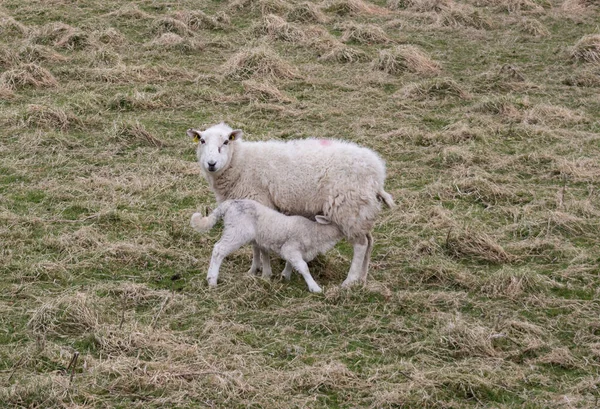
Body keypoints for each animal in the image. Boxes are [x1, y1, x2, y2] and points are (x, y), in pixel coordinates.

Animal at [192, 198, 342, 292]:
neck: (314, 231)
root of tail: (229, 204)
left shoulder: (294, 251)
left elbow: (291, 263)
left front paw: (285, 276)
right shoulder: (290, 247)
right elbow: (304, 267)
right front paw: (315, 288)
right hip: (237, 231)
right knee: (219, 250)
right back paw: (212, 280)